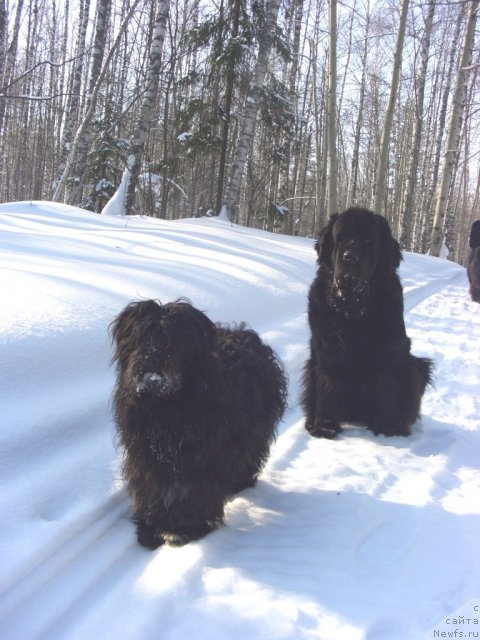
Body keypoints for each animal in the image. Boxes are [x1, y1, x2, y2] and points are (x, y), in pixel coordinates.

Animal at [110, 300, 286, 552]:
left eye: (171, 340)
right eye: (141, 337)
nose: (150, 360)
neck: (165, 405)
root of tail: (243, 334)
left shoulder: (204, 455)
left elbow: (196, 489)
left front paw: (186, 528)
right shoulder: (145, 453)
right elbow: (152, 486)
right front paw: (151, 528)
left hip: (254, 432)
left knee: (249, 455)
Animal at [302, 208, 434, 438]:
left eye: (367, 241)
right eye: (341, 238)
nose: (349, 257)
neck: (353, 307)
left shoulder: (388, 349)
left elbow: (387, 386)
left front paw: (389, 427)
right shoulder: (326, 348)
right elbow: (326, 386)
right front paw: (324, 427)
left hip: (416, 366)